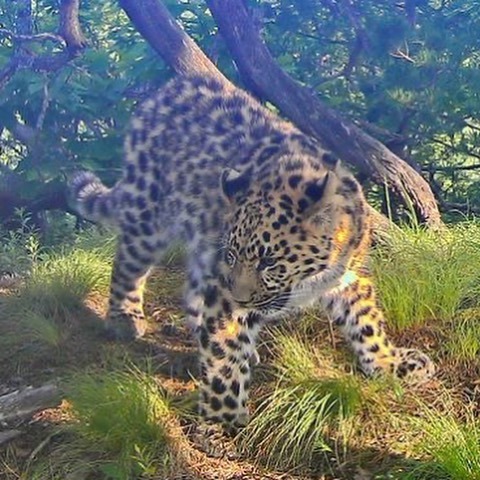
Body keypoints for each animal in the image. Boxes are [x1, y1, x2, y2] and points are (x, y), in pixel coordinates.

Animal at [70, 74, 436, 432]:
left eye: (269, 261)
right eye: (233, 255)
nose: (241, 299)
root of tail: (164, 90)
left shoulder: (351, 274)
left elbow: (367, 322)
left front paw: (390, 363)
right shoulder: (223, 285)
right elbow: (224, 351)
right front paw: (221, 418)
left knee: (192, 292)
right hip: (148, 211)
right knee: (129, 260)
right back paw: (125, 317)